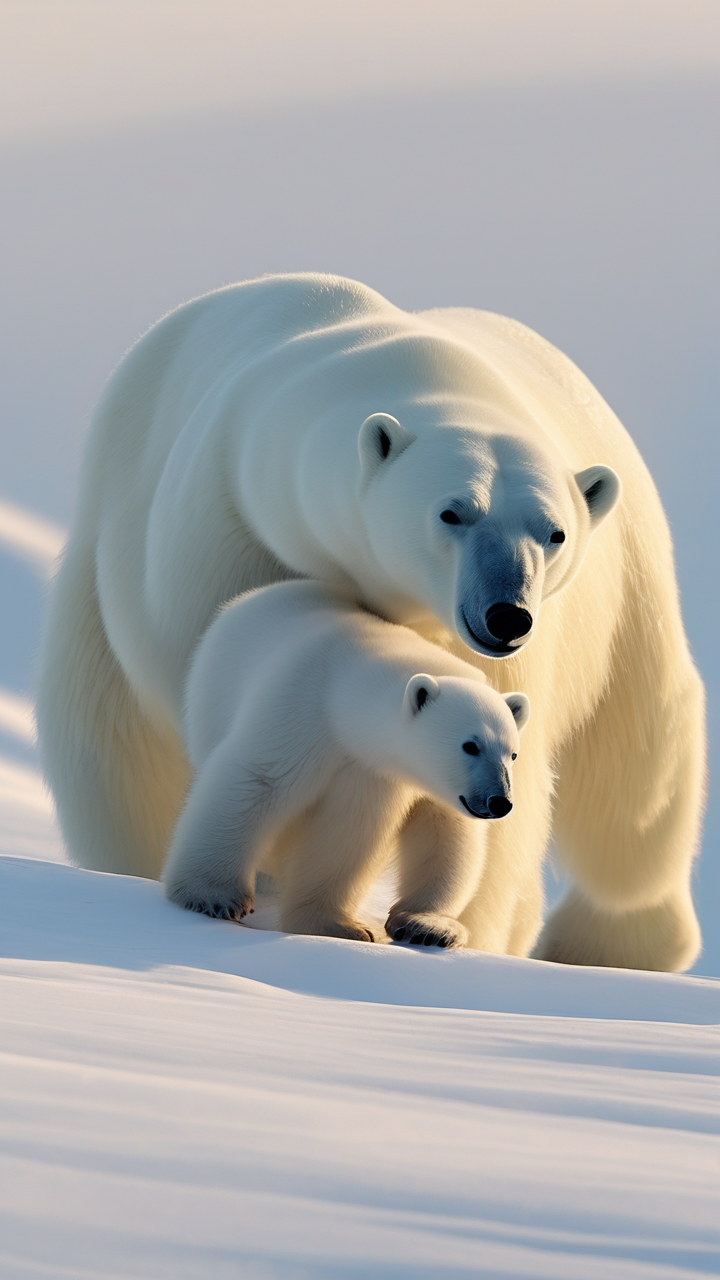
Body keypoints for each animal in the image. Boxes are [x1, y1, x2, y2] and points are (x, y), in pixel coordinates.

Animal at [162, 580, 530, 948]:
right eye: (470, 745)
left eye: (512, 753)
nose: (499, 802)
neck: (344, 695)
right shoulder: (302, 709)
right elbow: (259, 781)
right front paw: (213, 897)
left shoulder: (382, 774)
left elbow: (420, 830)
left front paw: (425, 925)